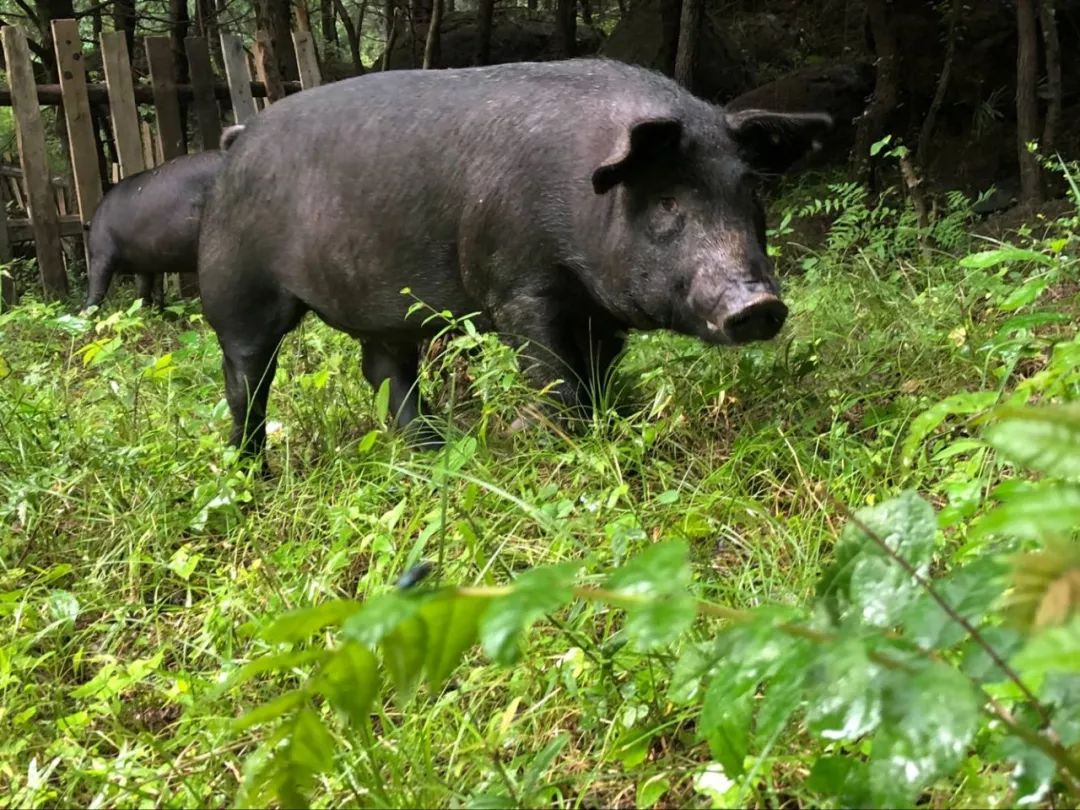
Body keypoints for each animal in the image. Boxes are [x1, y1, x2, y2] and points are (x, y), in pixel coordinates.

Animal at [198, 57, 829, 462]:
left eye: (749, 191)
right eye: (668, 199)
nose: (759, 304)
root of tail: (236, 141)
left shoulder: (598, 310)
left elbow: (598, 371)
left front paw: (612, 421)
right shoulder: (518, 287)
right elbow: (551, 372)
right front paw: (558, 437)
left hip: (384, 308)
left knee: (383, 369)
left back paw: (437, 450)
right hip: (236, 285)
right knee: (246, 375)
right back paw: (251, 470)